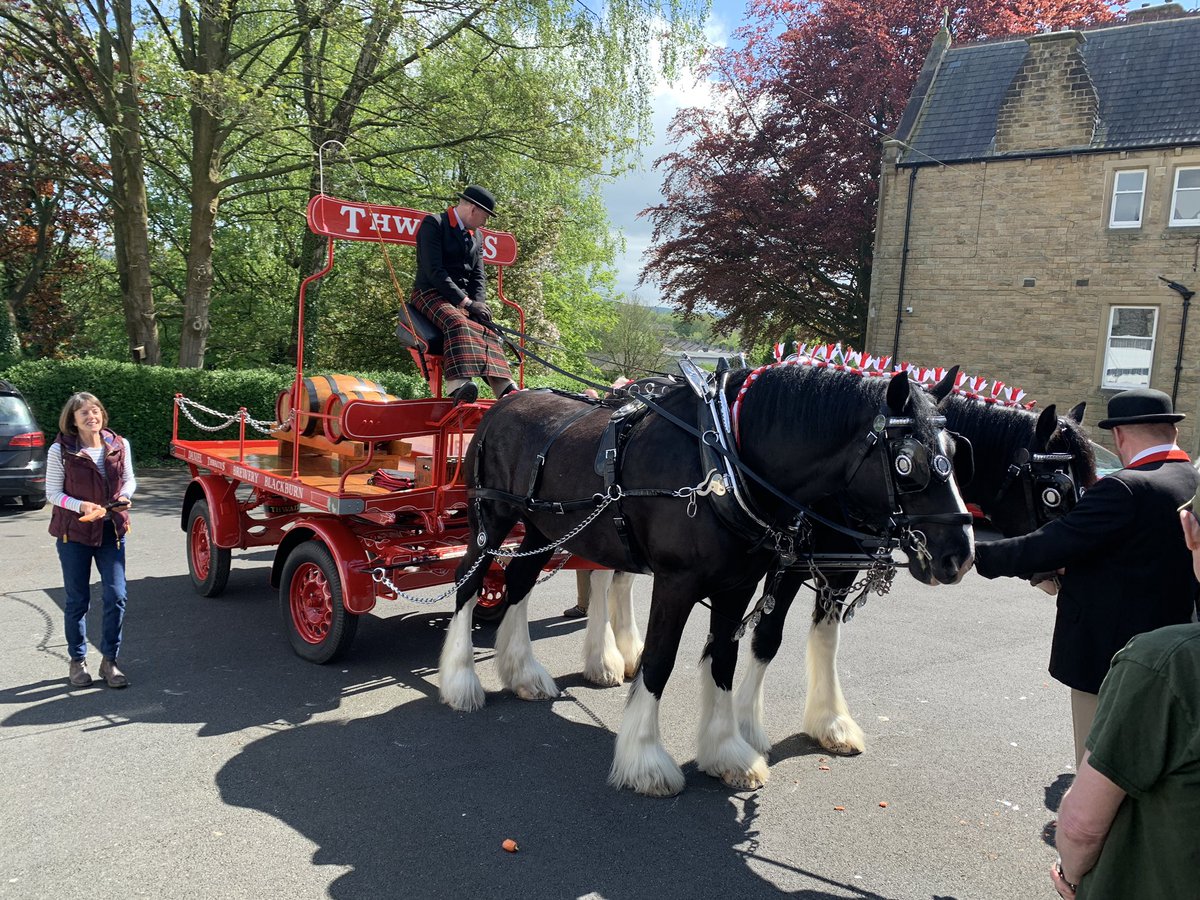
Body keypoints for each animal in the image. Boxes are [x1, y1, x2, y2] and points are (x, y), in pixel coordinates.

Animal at [441, 362, 974, 801]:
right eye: (907, 463)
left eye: (955, 451)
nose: (960, 555)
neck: (724, 460)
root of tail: (504, 402)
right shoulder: (677, 583)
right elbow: (659, 662)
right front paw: (645, 760)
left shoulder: (739, 584)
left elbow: (725, 658)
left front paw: (728, 752)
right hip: (489, 518)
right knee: (470, 582)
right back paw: (462, 681)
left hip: (542, 529)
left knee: (519, 580)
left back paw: (524, 673)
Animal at [729, 398, 1099, 758]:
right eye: (1053, 492)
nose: (962, 557)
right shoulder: (787, 568)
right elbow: (767, 638)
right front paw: (746, 728)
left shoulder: (840, 571)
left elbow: (827, 639)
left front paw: (832, 724)